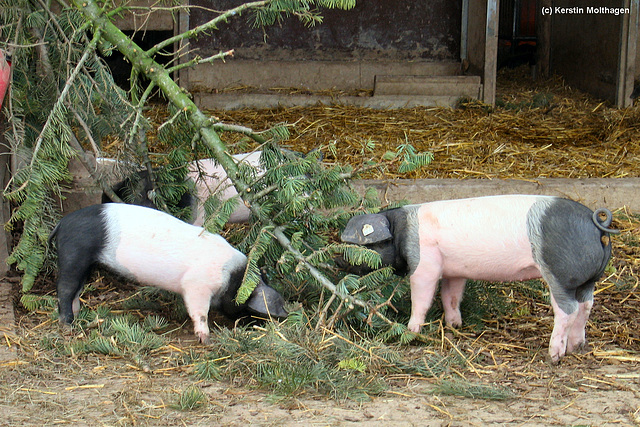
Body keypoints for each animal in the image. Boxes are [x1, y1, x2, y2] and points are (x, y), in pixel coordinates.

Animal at [48, 204, 288, 344]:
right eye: (248, 308)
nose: (254, 326)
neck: (232, 277)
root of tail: (61, 223)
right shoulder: (195, 286)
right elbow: (200, 313)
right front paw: (206, 339)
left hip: (85, 264)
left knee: (76, 290)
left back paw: (77, 315)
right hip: (74, 253)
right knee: (65, 288)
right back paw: (67, 324)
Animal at [340, 196, 620, 362]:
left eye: (362, 245)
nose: (338, 260)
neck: (400, 232)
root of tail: (594, 223)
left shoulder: (425, 265)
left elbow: (422, 298)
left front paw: (410, 331)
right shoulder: (454, 270)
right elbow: (451, 296)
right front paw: (455, 326)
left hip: (559, 275)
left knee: (567, 310)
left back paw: (554, 355)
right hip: (588, 281)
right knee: (586, 306)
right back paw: (577, 347)